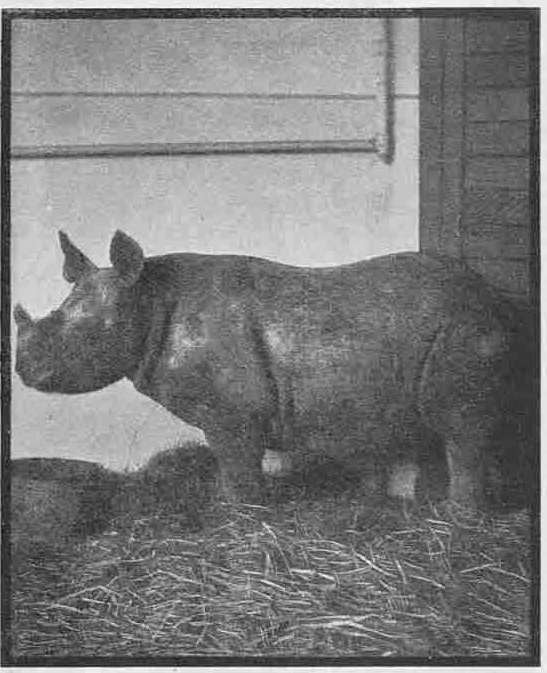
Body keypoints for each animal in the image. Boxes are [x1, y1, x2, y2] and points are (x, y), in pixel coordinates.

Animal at [14, 231, 535, 509]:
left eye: (84, 334)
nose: (22, 370)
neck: (147, 301)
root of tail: (495, 300)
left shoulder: (234, 414)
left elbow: (238, 468)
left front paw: (241, 519)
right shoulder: (225, 414)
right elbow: (227, 467)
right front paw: (224, 505)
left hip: (464, 330)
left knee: (463, 428)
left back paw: (458, 521)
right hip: (453, 329)